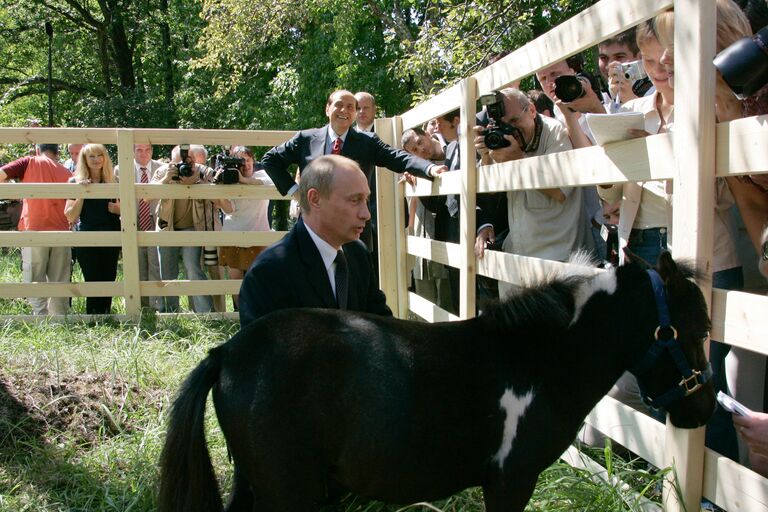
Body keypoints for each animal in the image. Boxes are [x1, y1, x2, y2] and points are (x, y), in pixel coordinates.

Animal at [159, 253, 716, 512]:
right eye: (700, 328)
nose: (705, 410)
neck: (537, 359)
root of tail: (228, 353)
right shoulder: (512, 480)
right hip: (286, 492)